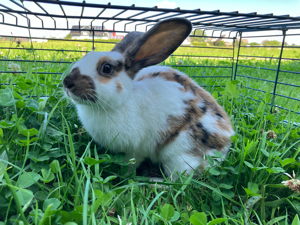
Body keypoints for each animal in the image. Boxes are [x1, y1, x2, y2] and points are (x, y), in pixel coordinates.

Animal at [62, 18, 234, 179]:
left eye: (107, 68)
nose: (67, 82)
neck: (123, 101)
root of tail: (226, 142)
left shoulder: (134, 150)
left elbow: (130, 164)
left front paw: (125, 176)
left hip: (180, 156)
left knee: (176, 180)